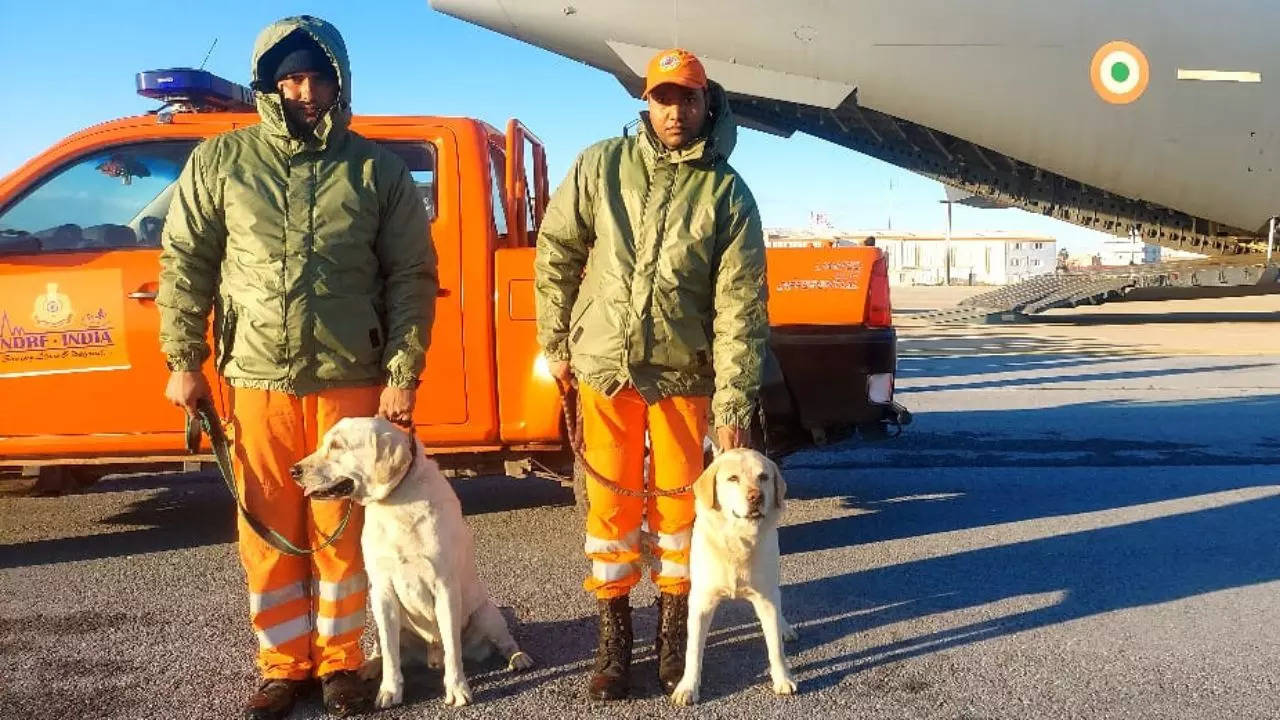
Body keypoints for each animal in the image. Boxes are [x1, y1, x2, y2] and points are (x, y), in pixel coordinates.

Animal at [293, 415, 532, 707]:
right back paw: (370, 666)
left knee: (504, 640)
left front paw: (457, 689)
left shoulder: (445, 587)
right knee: (382, 648)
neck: (396, 503)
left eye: (337, 445)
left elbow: (453, 649)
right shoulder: (381, 590)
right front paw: (389, 690)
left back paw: (518, 658)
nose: (294, 471)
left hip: (486, 614)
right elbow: (390, 653)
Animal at [675, 445, 793, 702]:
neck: (738, 541)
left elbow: (775, 647)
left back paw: (786, 628)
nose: (756, 497)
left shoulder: (767, 599)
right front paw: (688, 687)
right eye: (733, 478)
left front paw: (783, 679)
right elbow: (693, 650)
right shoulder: (701, 602)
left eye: (764, 477)